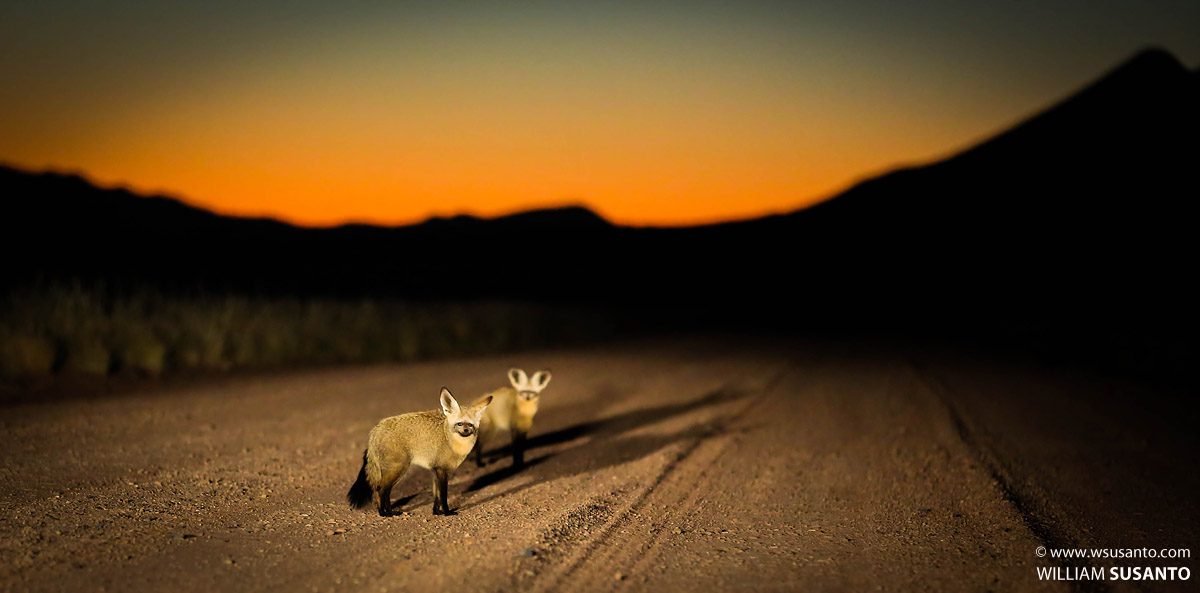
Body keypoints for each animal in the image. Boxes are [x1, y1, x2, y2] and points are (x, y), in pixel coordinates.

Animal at [347, 387, 492, 516]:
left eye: (470, 425)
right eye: (460, 424)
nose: (466, 431)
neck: (449, 439)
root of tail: (376, 430)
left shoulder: (435, 470)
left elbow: (436, 496)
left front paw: (437, 512)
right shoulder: (441, 470)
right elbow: (443, 495)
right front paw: (447, 512)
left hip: (394, 472)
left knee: (384, 491)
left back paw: (390, 512)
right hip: (398, 469)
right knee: (380, 489)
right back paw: (383, 513)